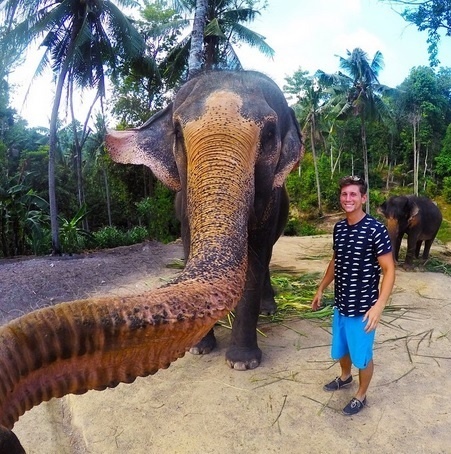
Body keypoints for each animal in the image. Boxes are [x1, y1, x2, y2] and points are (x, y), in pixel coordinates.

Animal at [0, 71, 306, 450]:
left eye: (269, 132)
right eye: (177, 131)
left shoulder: (271, 202)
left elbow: (257, 253)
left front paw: (242, 363)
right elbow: (188, 245)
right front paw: (200, 349)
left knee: (267, 258)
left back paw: (269, 309)